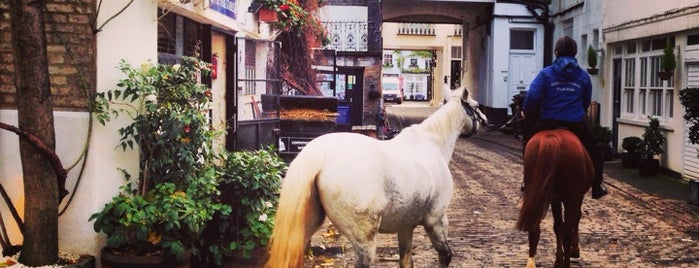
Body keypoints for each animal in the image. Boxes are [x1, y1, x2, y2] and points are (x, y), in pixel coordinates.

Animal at [266, 88, 490, 268]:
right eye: (475, 106)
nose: (487, 121)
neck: (432, 144)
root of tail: (318, 154)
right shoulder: (436, 221)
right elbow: (445, 255)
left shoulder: (405, 226)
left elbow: (406, 261)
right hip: (365, 240)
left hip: (303, 230)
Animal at [516, 129, 592, 266]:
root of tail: (551, 138)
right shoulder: (576, 197)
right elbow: (576, 218)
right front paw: (574, 249)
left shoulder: (555, 199)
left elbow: (558, 226)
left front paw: (558, 258)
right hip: (571, 198)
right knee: (567, 232)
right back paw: (567, 263)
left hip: (535, 195)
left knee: (534, 228)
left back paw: (531, 262)